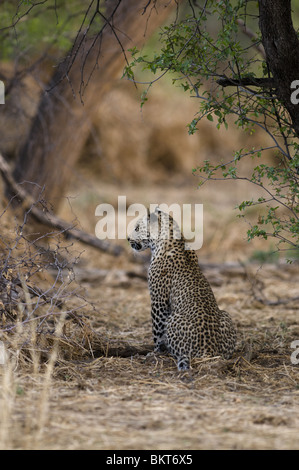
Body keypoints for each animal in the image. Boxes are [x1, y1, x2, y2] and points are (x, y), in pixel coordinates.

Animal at [127, 206, 238, 370]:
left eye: (137, 228)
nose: (127, 239)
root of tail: (209, 350)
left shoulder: (159, 301)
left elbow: (157, 330)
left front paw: (156, 352)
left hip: (173, 319)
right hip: (226, 315)